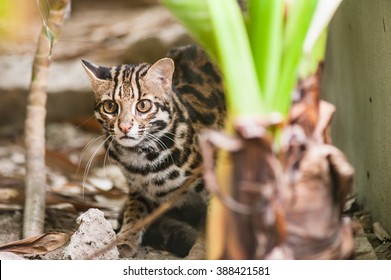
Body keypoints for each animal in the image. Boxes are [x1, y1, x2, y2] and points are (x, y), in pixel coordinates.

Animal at [82, 44, 227, 258]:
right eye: (110, 106)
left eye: (143, 105)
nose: (124, 127)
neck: (143, 157)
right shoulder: (137, 185)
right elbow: (135, 209)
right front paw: (125, 238)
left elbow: (214, 220)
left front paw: (205, 250)